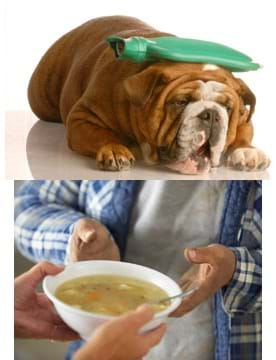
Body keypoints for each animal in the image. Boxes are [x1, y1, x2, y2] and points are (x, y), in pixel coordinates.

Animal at [28, 16, 270, 174]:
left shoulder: (243, 116)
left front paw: (248, 152)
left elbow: (243, 133)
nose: (211, 114)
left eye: (228, 108)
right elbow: (101, 134)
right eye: (180, 102)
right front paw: (114, 150)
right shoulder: (83, 116)